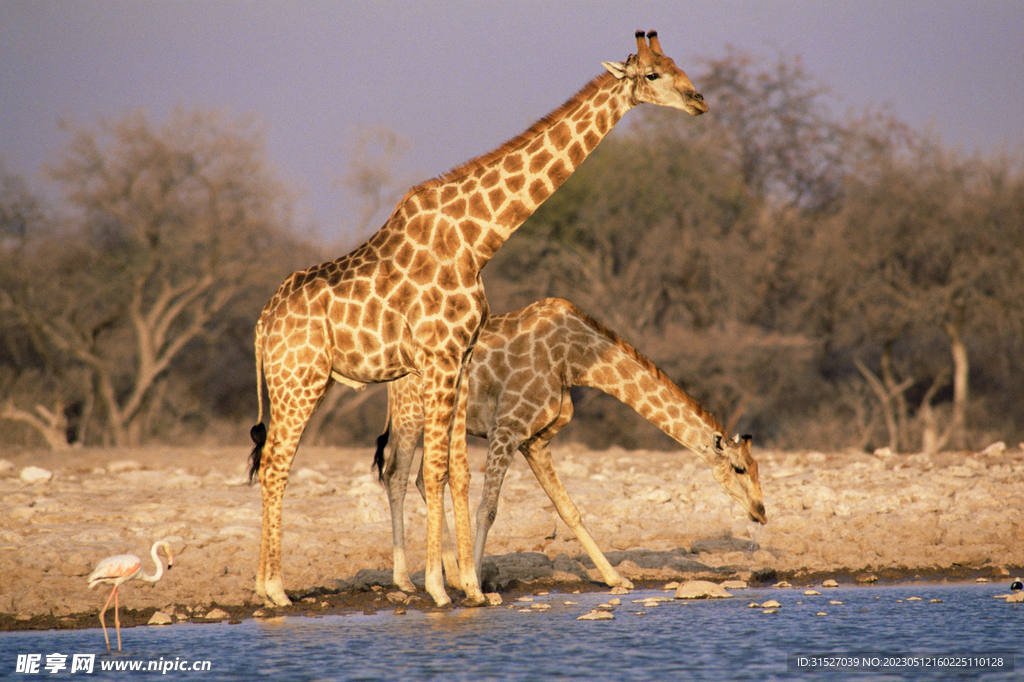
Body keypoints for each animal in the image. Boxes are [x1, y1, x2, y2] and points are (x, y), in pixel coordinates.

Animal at [251, 30, 708, 606]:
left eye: (676, 65)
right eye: (652, 75)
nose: (699, 100)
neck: (477, 240)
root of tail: (262, 325)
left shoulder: (460, 357)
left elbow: (458, 473)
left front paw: (471, 586)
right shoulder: (441, 356)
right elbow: (436, 471)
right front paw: (440, 588)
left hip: (301, 381)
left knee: (276, 463)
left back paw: (266, 586)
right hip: (300, 379)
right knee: (276, 464)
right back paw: (275, 590)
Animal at [376, 296, 770, 589]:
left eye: (756, 468)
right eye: (739, 468)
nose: (761, 512)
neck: (574, 359)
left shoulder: (536, 440)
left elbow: (570, 510)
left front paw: (616, 578)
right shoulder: (506, 428)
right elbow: (487, 508)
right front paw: (478, 587)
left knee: (420, 478)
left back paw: (451, 577)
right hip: (412, 415)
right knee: (397, 475)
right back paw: (408, 582)